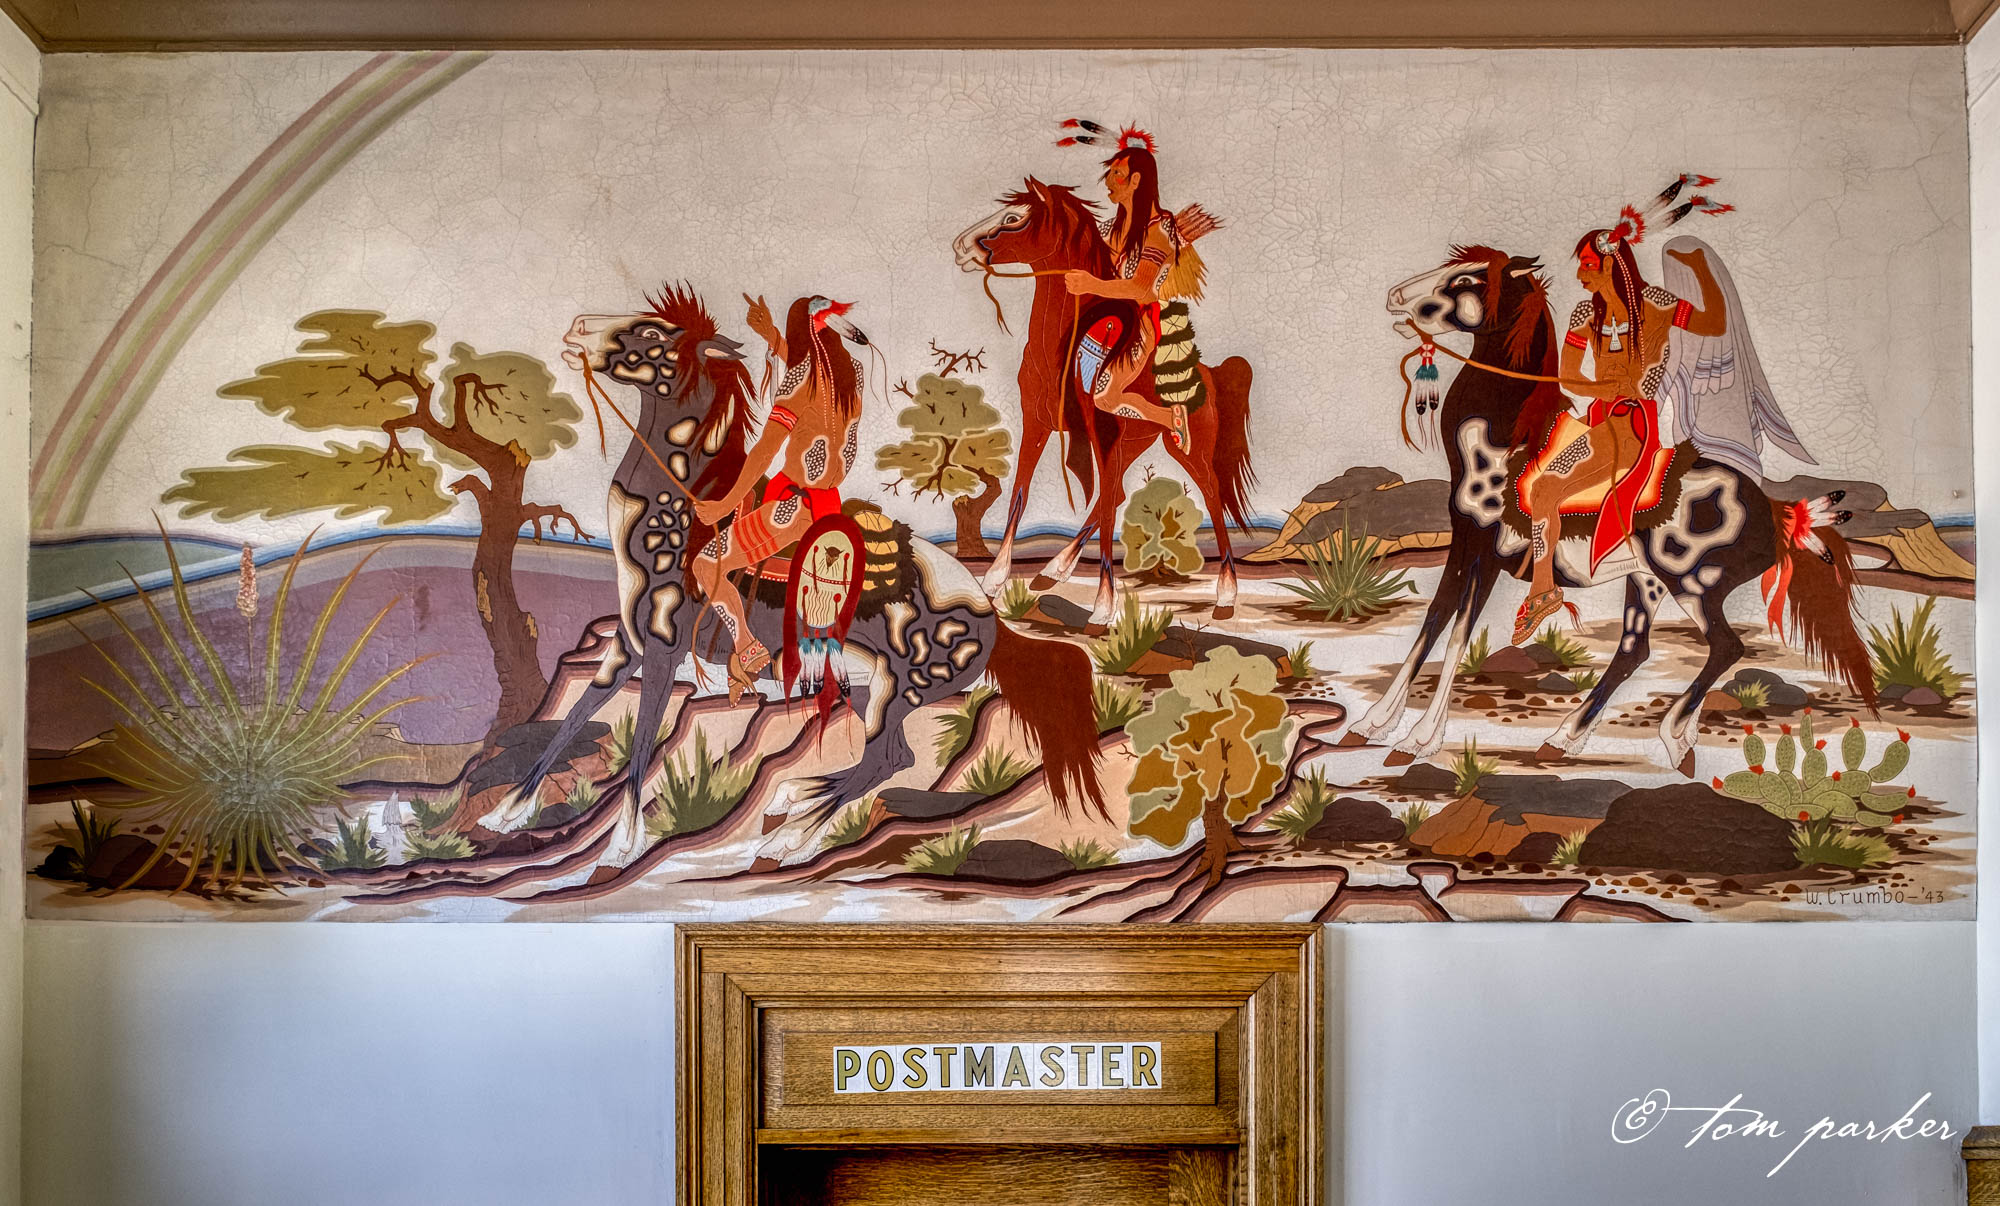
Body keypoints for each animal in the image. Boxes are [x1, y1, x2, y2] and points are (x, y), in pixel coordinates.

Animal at [503, 285, 1103, 859]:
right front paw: (510, 810)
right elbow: (581, 710)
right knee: (891, 759)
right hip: (870, 684)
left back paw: (791, 836)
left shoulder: (664, 645)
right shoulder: (628, 642)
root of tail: (991, 617)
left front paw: (623, 844)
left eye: (652, 332)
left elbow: (644, 735)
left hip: (900, 691)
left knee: (885, 757)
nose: (578, 328)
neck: (679, 510)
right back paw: (795, 799)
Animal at [952, 178, 1256, 627]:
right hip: (1133, 442)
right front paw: (993, 579)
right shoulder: (1037, 424)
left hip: (1188, 449)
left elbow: (1109, 512)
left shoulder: (1102, 433)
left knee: (1211, 495)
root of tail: (1209, 373)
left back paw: (1226, 595)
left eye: (1012, 218)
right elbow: (1020, 494)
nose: (960, 246)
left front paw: (1103, 607)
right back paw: (1051, 571)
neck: (1061, 347)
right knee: (1113, 493)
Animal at [1348, 245, 1873, 774]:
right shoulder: (1464, 541)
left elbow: (1457, 632)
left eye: (1465, 280)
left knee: (1726, 647)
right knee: (1636, 650)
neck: (1507, 440)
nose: (1396, 297)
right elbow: (1434, 620)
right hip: (1646, 582)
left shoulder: (1485, 550)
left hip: (1692, 586)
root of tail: (1779, 512)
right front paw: (1372, 724)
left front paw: (1416, 739)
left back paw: (1670, 734)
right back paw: (1573, 738)